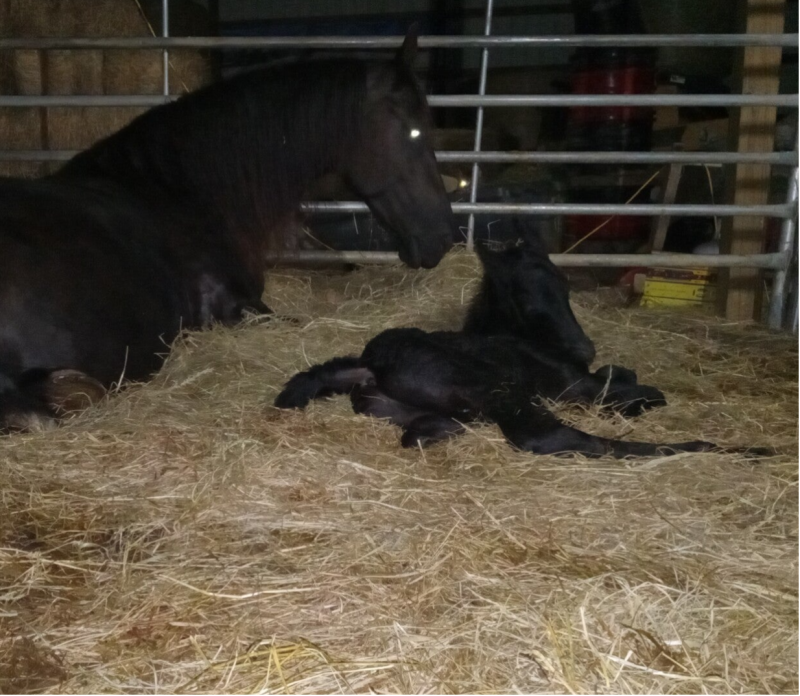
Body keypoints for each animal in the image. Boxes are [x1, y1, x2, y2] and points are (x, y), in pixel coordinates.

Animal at [275, 240, 770, 459]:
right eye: (528, 295)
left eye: (565, 285)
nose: (583, 345)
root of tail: (370, 363)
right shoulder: (577, 385)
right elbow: (638, 389)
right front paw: (635, 404)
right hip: (501, 392)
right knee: (554, 437)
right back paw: (740, 449)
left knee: (420, 432)